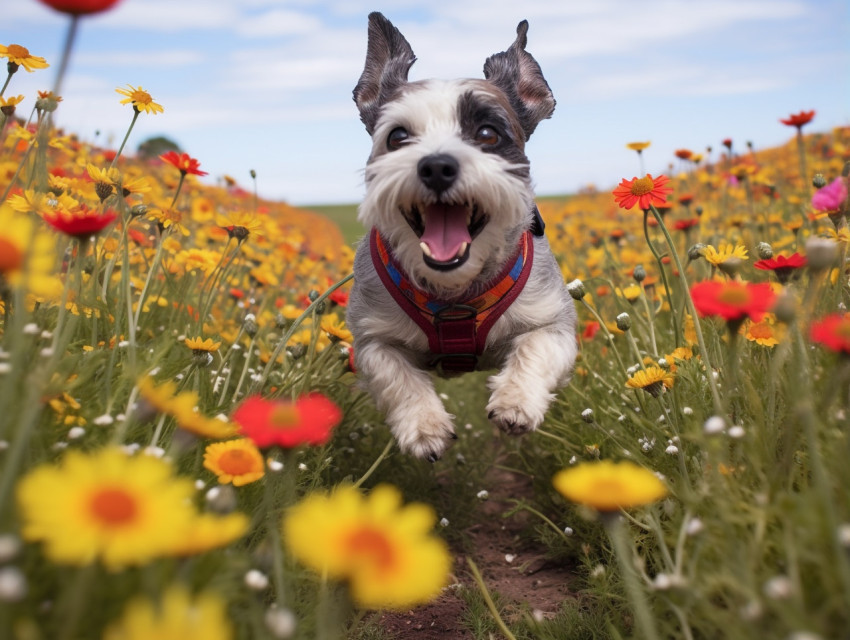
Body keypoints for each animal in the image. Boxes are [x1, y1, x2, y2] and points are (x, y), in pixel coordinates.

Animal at [344, 11, 576, 460]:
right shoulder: (371, 337)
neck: (454, 292)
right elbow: (395, 374)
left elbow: (537, 347)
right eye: (398, 136)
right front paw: (424, 425)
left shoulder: (553, 319)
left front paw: (516, 401)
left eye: (487, 134)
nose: (436, 166)